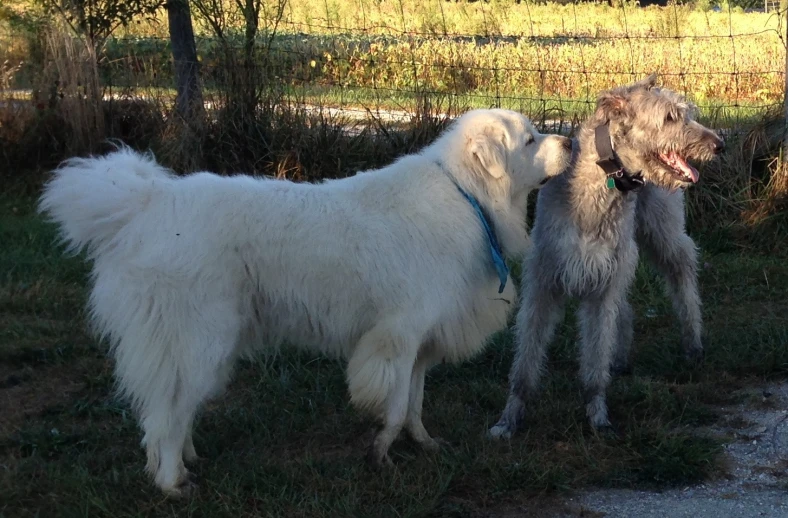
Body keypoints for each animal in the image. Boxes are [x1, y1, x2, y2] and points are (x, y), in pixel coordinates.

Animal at [38, 108, 572, 496]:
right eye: (529, 140)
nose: (570, 142)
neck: (468, 195)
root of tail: (145, 202)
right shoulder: (396, 337)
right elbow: (396, 406)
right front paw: (381, 455)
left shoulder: (421, 341)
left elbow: (415, 404)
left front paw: (422, 444)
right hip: (198, 340)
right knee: (164, 415)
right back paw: (173, 482)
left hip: (205, 347)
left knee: (176, 410)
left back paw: (189, 461)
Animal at [490, 74, 724, 438]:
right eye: (670, 117)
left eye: (686, 113)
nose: (719, 144)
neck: (601, 182)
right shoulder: (544, 282)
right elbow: (526, 360)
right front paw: (509, 418)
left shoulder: (601, 286)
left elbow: (595, 356)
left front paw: (597, 416)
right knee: (625, 304)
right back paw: (622, 357)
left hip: (661, 230)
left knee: (682, 266)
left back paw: (692, 341)